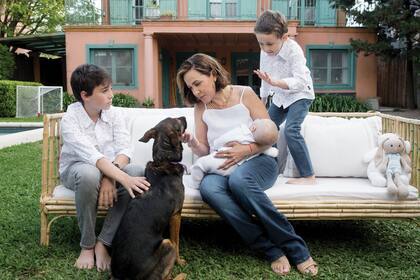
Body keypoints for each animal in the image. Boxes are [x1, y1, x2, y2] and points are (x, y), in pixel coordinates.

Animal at [112, 116, 188, 280]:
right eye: (178, 122)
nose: (185, 117)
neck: (164, 160)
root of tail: (123, 277)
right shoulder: (176, 215)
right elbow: (177, 242)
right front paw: (180, 262)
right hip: (166, 243)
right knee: (167, 276)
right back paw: (181, 275)